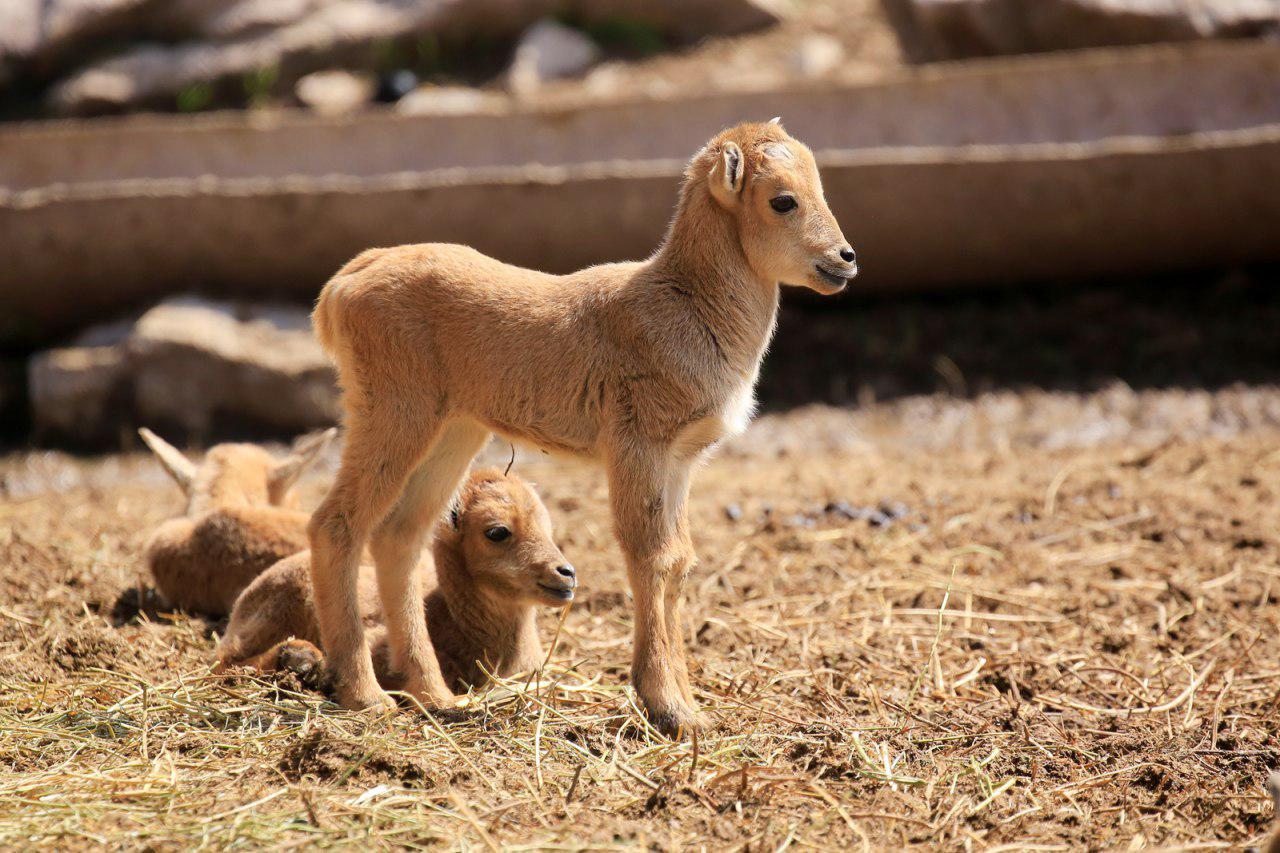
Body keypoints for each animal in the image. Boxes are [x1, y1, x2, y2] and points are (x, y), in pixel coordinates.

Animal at [217, 468, 578, 696]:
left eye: (548, 526)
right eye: (497, 532)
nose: (566, 573)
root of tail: (243, 600)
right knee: (225, 662)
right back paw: (300, 658)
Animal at [305, 117, 855, 732]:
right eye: (782, 200)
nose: (845, 259)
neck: (683, 304)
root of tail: (343, 285)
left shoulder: (681, 459)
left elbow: (680, 559)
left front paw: (690, 706)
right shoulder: (637, 444)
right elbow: (651, 556)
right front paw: (666, 706)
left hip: (454, 428)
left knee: (400, 535)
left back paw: (435, 695)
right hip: (393, 409)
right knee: (336, 524)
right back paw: (364, 695)